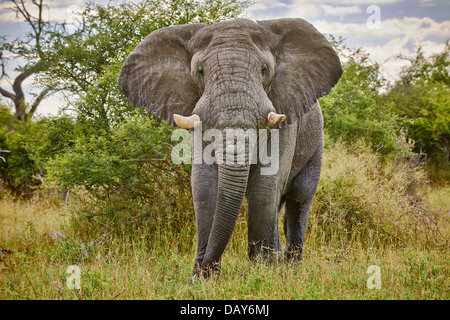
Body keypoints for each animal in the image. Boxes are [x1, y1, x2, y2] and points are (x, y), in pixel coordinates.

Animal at [118, 17, 342, 278]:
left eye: (264, 70)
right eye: (200, 71)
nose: (204, 267)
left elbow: (266, 184)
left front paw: (263, 272)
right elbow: (204, 184)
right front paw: (204, 277)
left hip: (316, 145)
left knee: (298, 201)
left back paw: (290, 268)